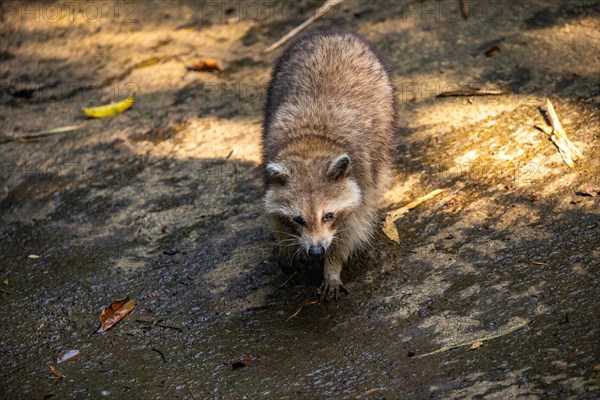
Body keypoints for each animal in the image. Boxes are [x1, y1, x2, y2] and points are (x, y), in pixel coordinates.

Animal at [262, 30, 394, 300]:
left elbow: (351, 232)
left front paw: (332, 267)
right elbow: (276, 218)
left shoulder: (361, 182)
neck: (311, 145)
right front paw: (287, 246)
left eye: (328, 216)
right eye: (298, 219)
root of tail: (332, 33)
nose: (316, 252)